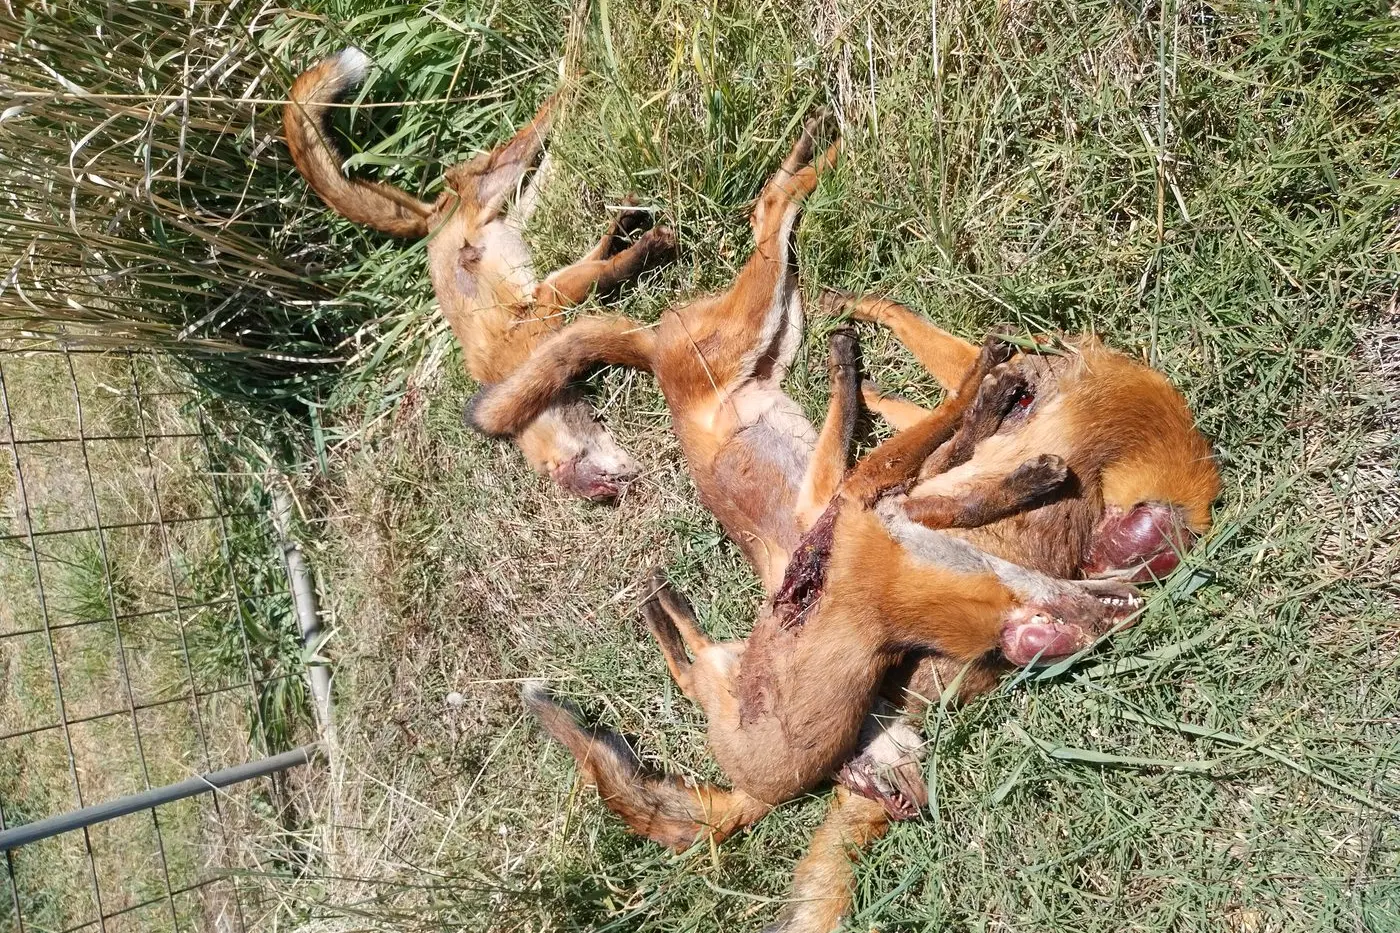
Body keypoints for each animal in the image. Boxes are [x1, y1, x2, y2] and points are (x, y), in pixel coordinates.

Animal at [283, 48, 676, 500]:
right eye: (599, 487)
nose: (629, 483)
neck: (510, 372)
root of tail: (430, 220)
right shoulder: (549, 292)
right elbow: (600, 257)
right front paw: (632, 232)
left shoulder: (547, 302)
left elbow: (605, 266)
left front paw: (639, 246)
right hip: (516, 207)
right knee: (547, 153)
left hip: (498, 178)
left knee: (542, 120)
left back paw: (574, 63)